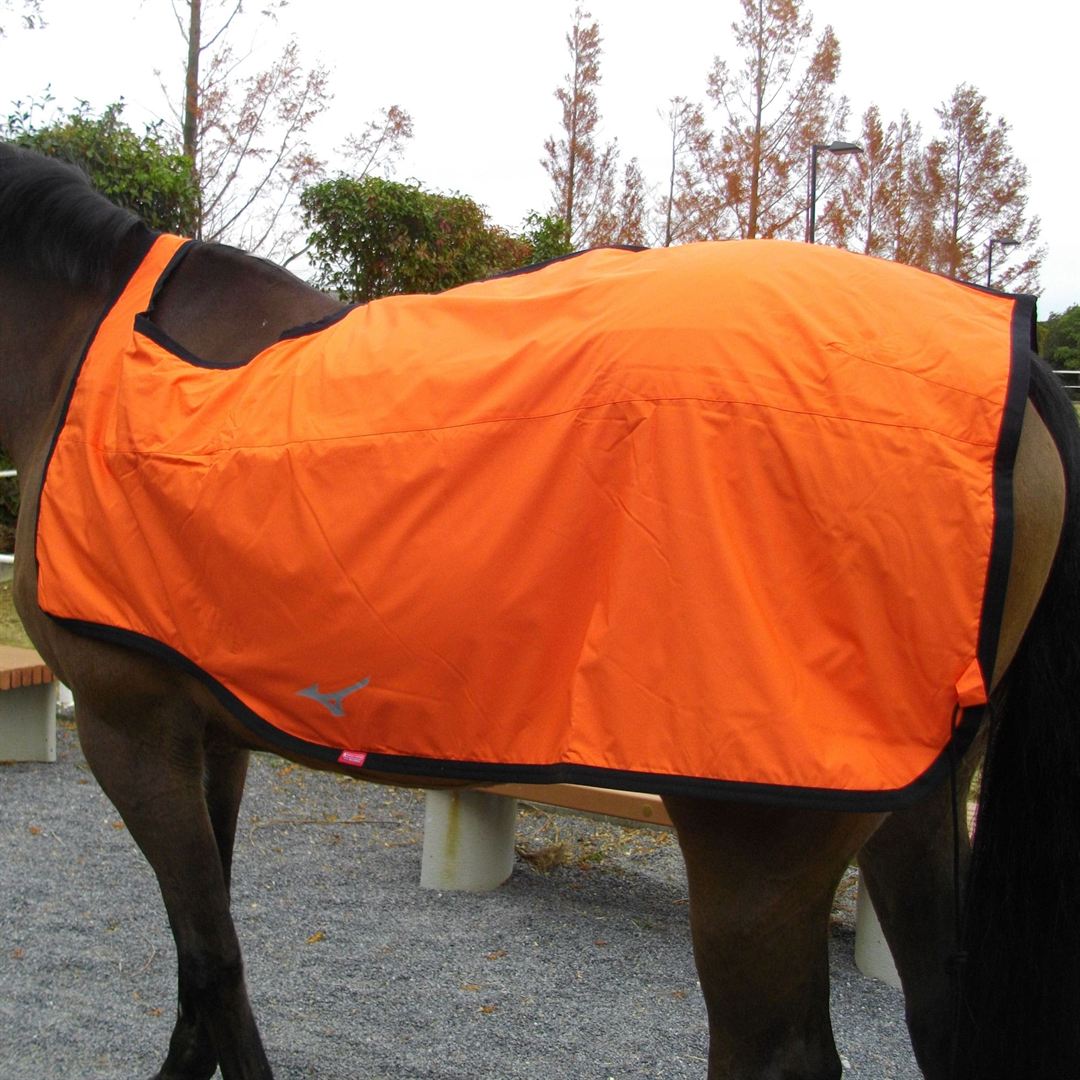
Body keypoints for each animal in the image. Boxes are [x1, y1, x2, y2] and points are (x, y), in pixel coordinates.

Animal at [1, 141, 1078, 1080]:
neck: (78, 350)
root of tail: (1016, 361)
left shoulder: (129, 730)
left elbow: (210, 959)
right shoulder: (210, 733)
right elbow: (205, 964)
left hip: (758, 847)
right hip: (914, 803)